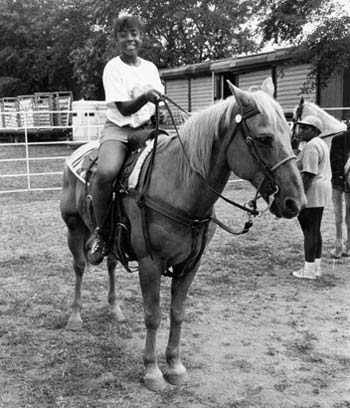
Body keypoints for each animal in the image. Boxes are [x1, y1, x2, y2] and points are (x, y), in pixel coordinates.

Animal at [60, 77, 306, 392]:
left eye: (291, 136)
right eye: (264, 138)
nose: (295, 202)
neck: (179, 187)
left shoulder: (190, 265)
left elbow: (177, 313)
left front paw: (175, 365)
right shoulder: (150, 264)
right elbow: (153, 316)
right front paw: (152, 371)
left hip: (111, 240)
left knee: (112, 264)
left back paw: (115, 310)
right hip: (74, 227)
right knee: (79, 267)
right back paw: (75, 317)